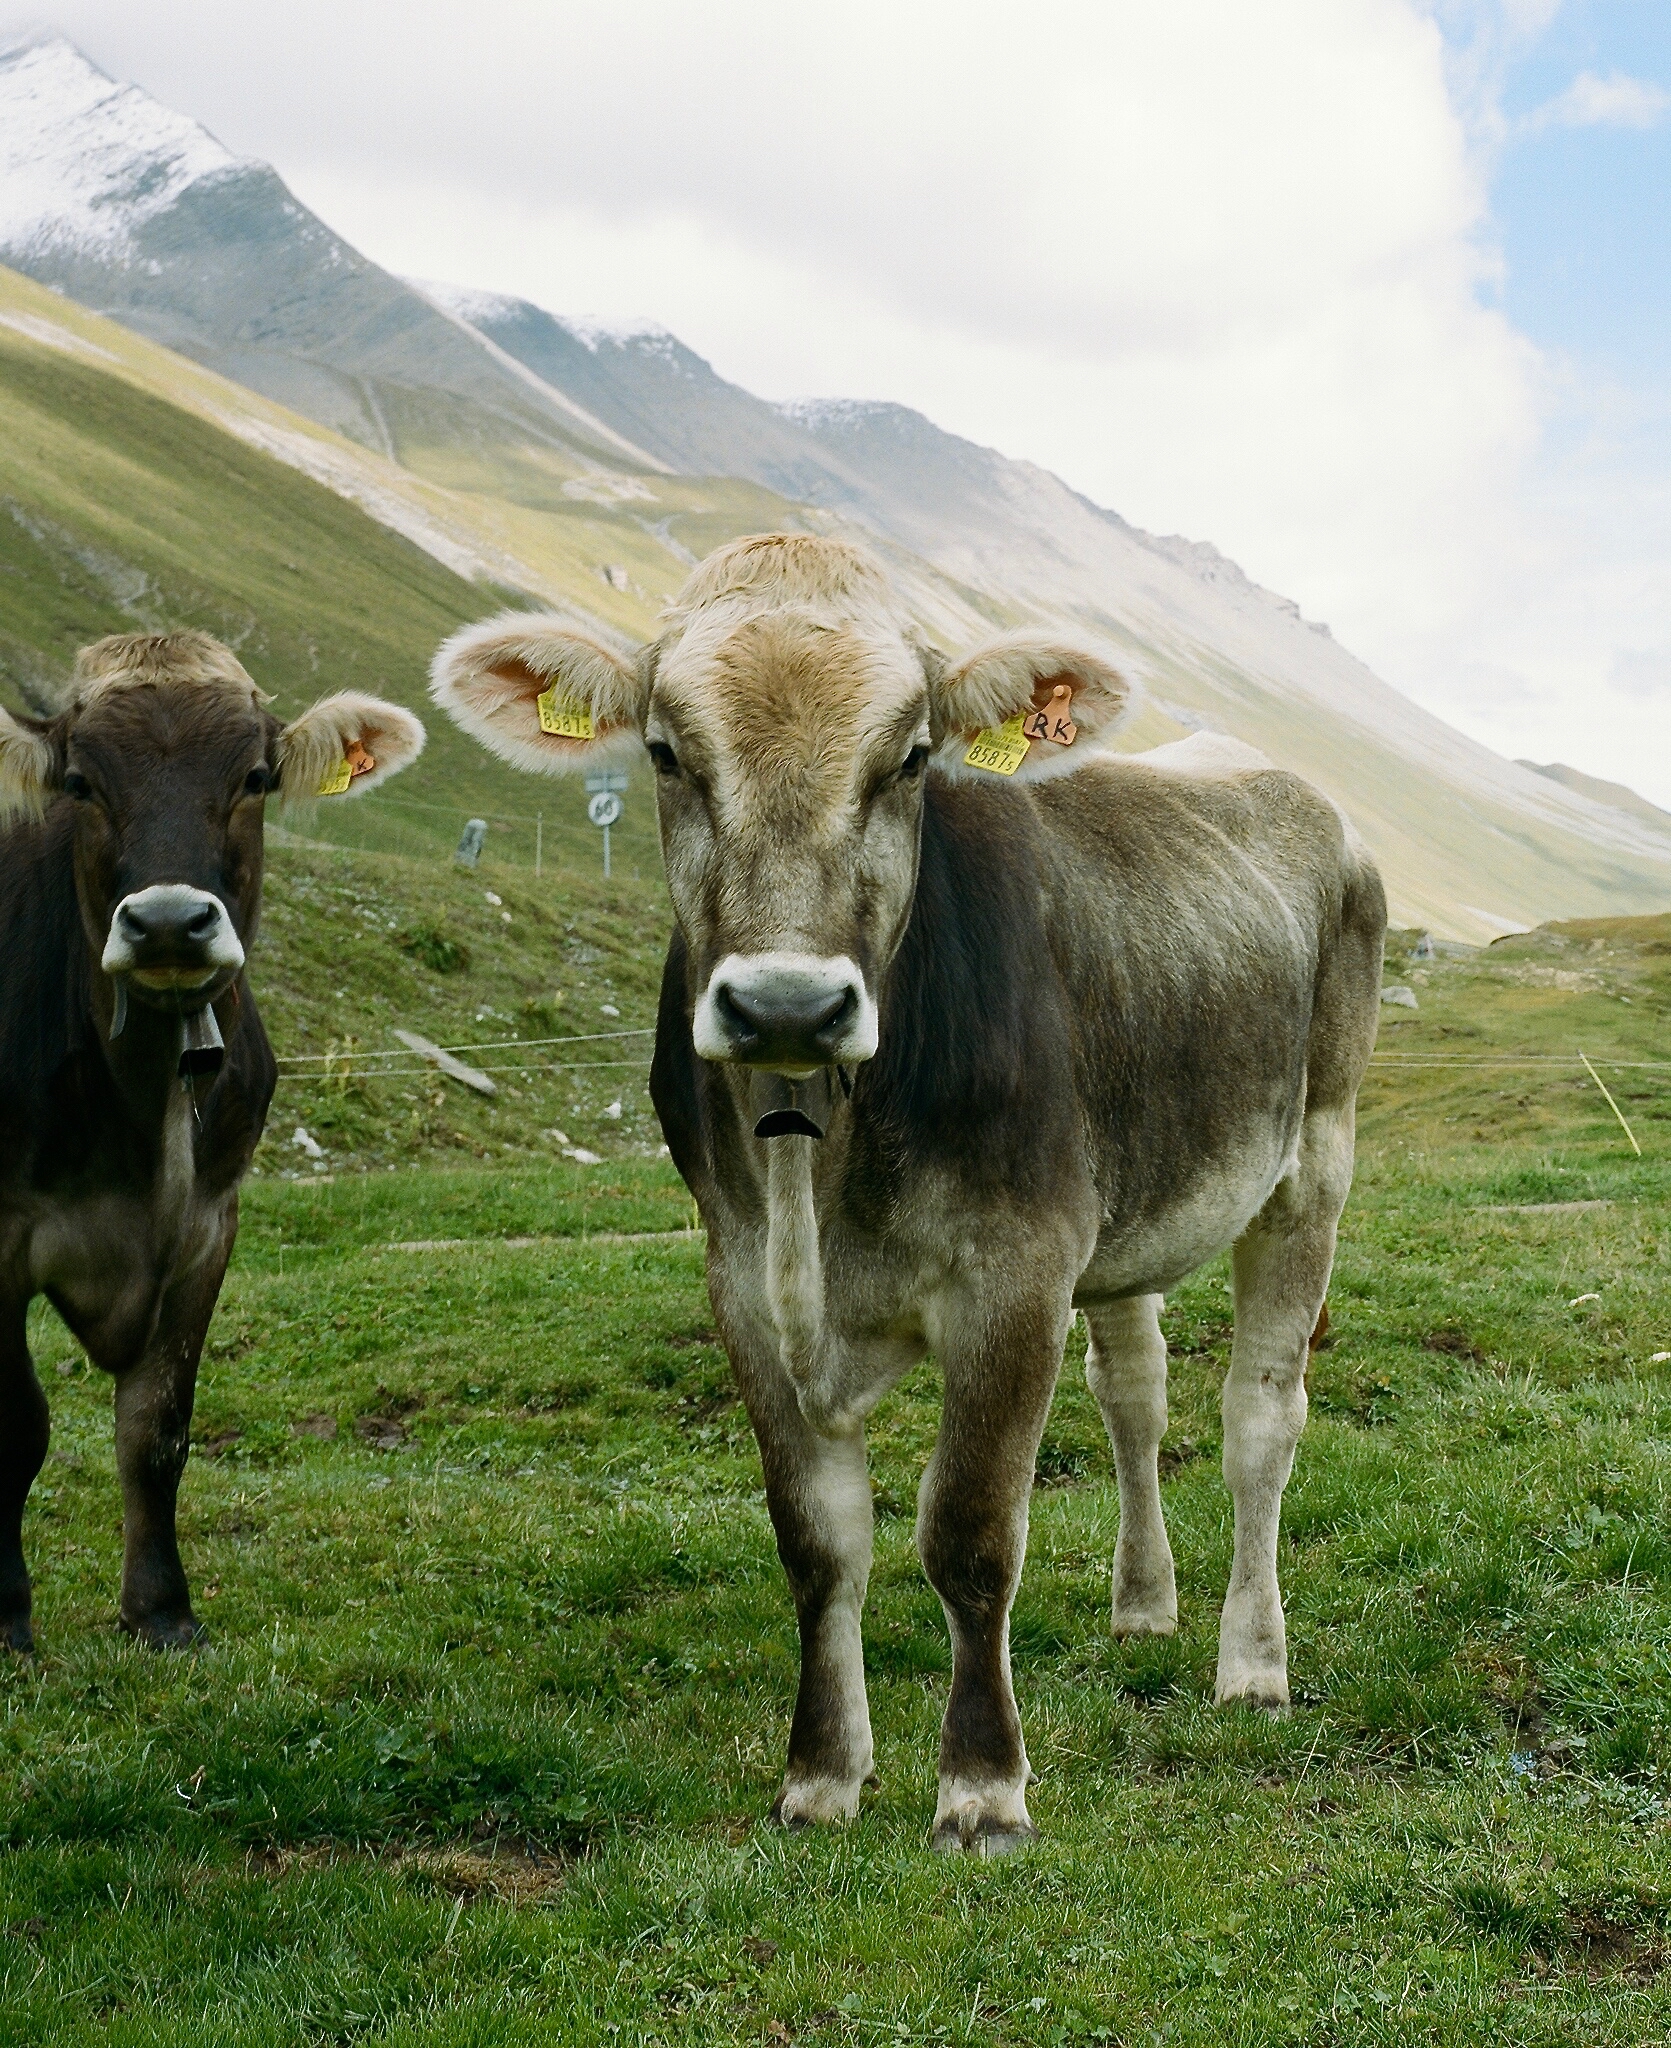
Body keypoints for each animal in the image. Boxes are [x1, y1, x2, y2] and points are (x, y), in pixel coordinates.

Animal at [0, 632, 423, 1652]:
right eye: (80, 782)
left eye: (255, 777)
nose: (166, 922)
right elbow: (16, 1425)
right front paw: (6, 1616)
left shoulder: (207, 1226)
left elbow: (157, 1427)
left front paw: (161, 1611)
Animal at [430, 533, 1384, 1852]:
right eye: (666, 751)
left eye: (913, 755)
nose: (785, 1001)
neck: (814, 1173)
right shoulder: (740, 1281)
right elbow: (819, 1538)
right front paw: (821, 1773)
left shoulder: (1013, 1271)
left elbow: (970, 1531)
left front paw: (981, 1786)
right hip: (1124, 1211)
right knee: (1136, 1397)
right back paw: (1145, 1604)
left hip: (1313, 1158)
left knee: (1259, 1419)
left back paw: (1251, 1661)